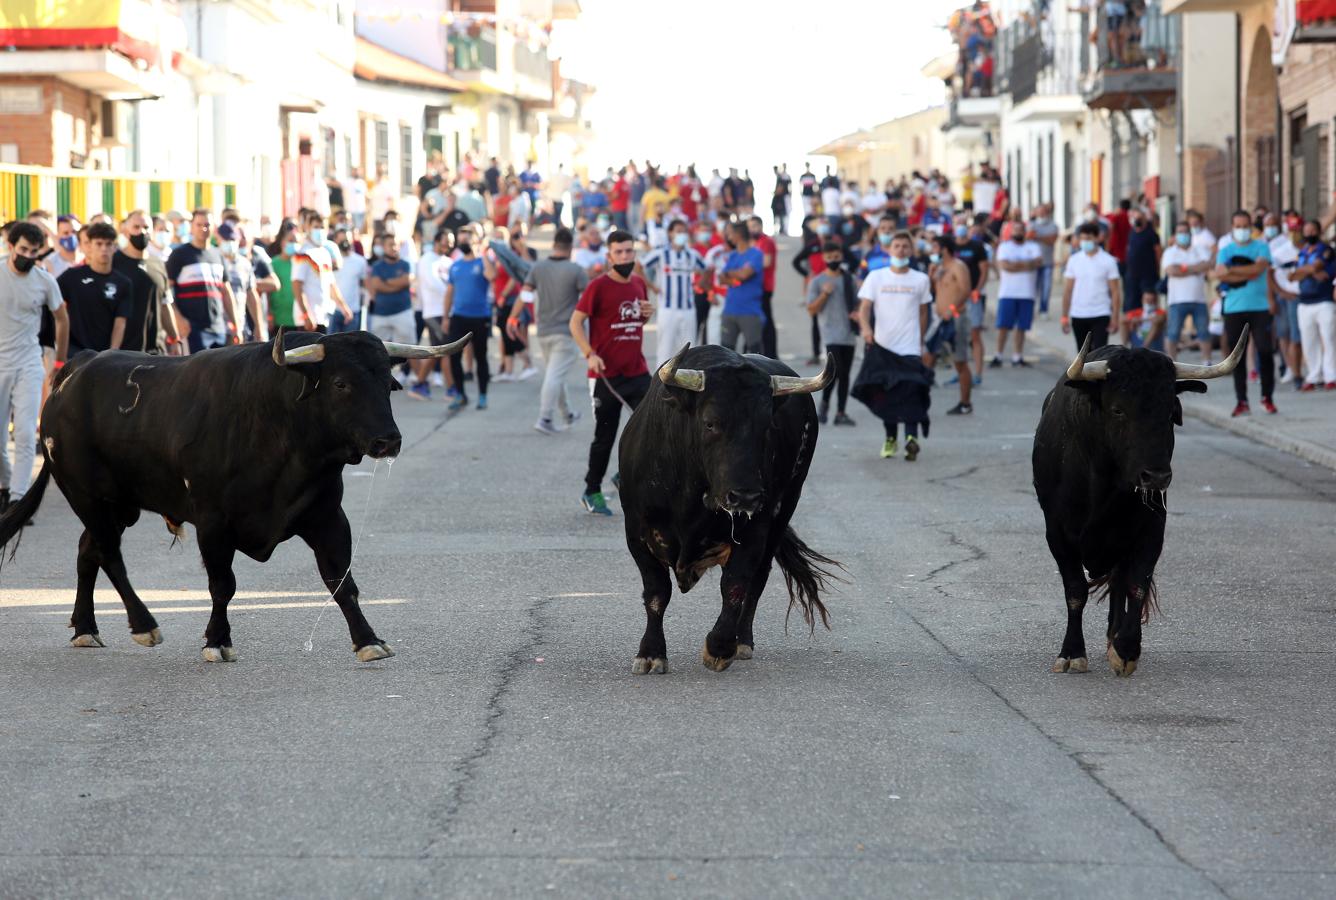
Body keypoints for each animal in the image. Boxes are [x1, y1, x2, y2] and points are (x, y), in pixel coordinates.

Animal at [0, 327, 464, 659]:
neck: (278, 422)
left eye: (389, 382)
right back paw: (144, 625)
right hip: (87, 495)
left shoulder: (327, 516)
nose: (389, 441)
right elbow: (223, 585)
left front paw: (368, 640)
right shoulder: (213, 523)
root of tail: (76, 369)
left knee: (88, 551)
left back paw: (85, 629)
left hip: (119, 505)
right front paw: (216, 641)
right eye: (340, 384)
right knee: (109, 555)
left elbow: (341, 580)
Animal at [619, 347, 839, 670]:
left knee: (757, 580)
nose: (745, 496)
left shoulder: (755, 530)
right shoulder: (636, 532)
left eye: (766, 426)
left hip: (784, 510)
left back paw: (743, 641)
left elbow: (735, 585)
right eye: (711, 422)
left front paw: (720, 647)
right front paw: (650, 653)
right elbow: (657, 592)